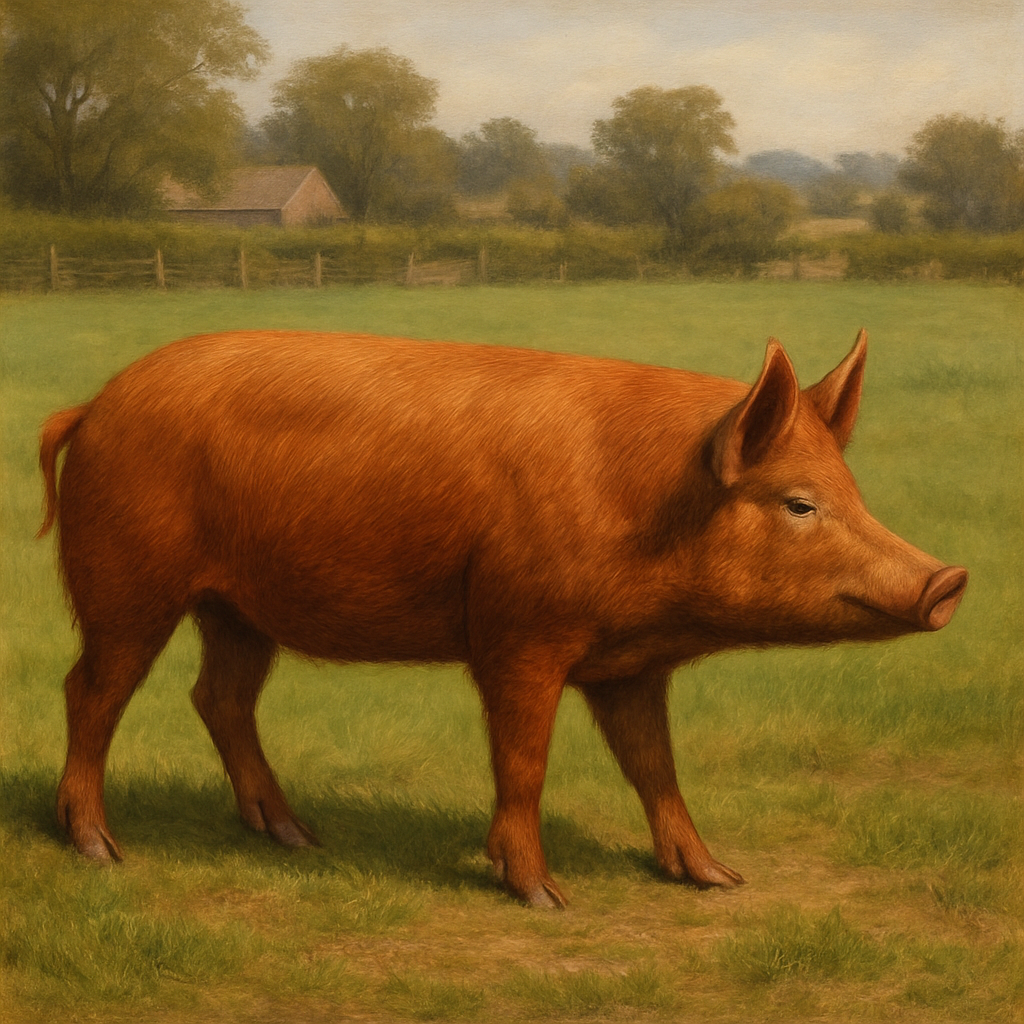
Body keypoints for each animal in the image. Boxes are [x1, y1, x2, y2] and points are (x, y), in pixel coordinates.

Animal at [37, 328, 967, 907]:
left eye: (855, 493)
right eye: (799, 503)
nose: (948, 579)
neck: (651, 512)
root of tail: (92, 406)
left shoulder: (630, 665)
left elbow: (654, 767)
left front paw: (717, 879)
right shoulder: (521, 635)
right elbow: (524, 761)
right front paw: (545, 896)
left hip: (237, 606)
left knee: (218, 698)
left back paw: (298, 839)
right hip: (127, 579)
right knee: (91, 691)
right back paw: (98, 850)